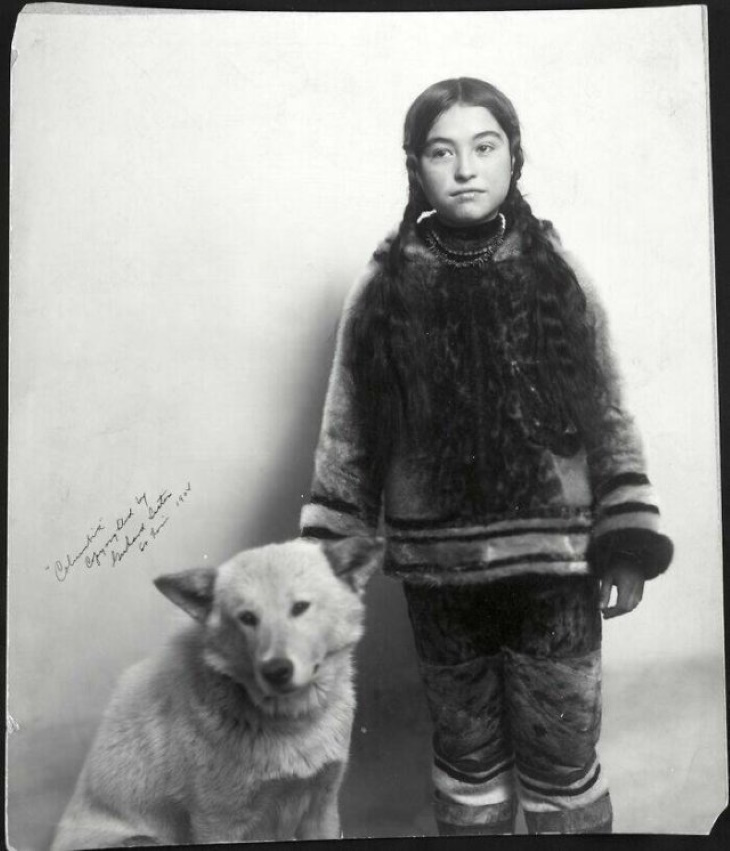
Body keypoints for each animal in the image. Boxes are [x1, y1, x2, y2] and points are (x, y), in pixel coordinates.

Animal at [50, 536, 382, 848]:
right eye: (247, 617)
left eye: (300, 607)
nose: (276, 670)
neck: (291, 724)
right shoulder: (218, 824)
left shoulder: (321, 809)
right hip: (143, 839)